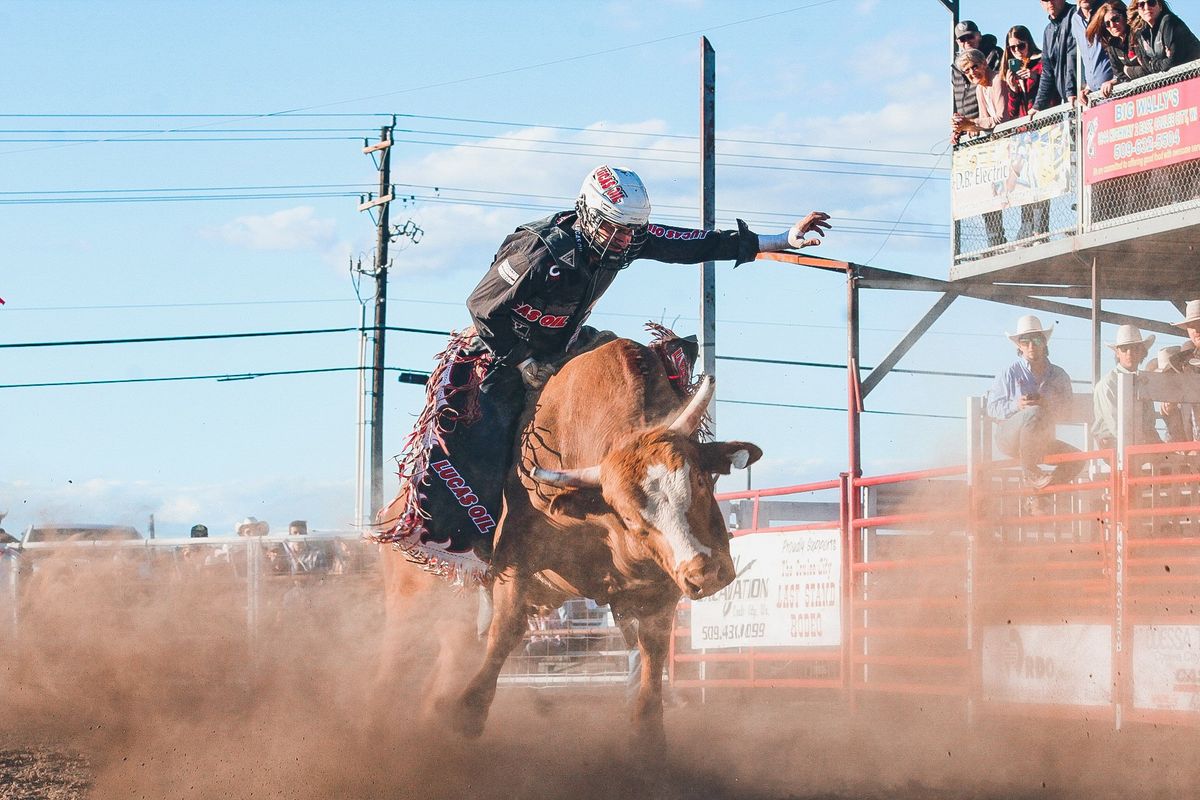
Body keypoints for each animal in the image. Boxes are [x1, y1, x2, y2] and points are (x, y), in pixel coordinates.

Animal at [434, 335, 758, 743]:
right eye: (629, 516)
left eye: (699, 480)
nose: (706, 574)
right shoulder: (515, 559)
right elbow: (506, 631)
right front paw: (466, 714)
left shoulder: (660, 586)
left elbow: (652, 653)